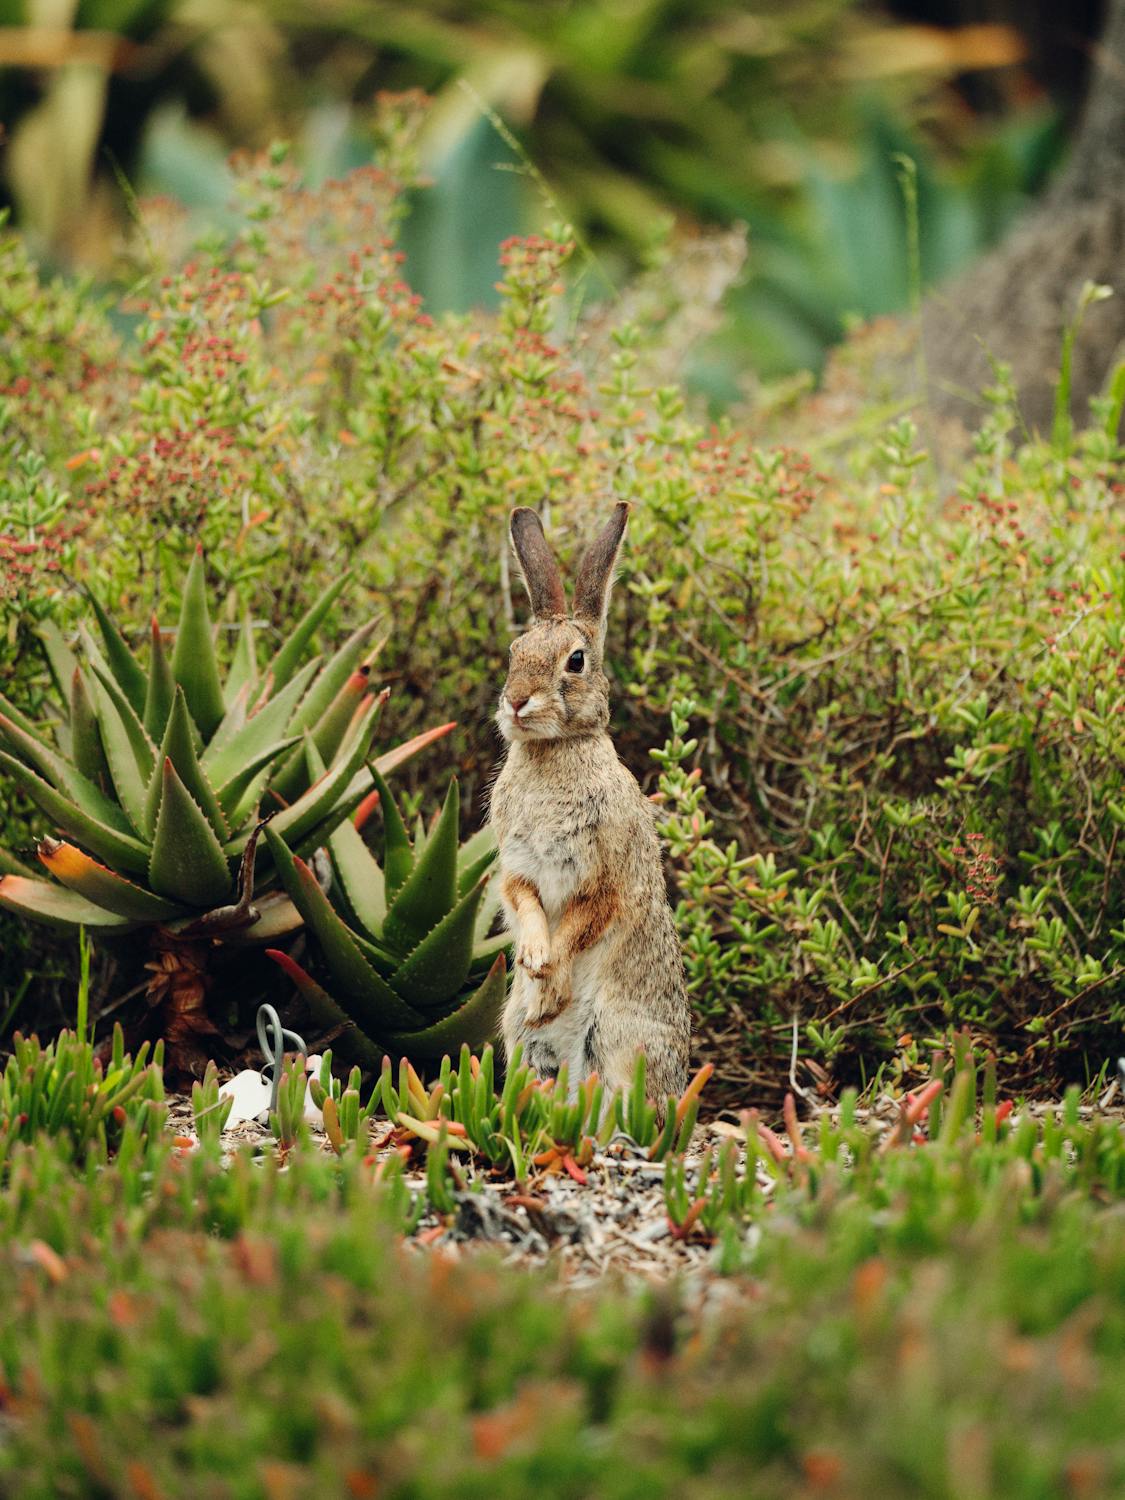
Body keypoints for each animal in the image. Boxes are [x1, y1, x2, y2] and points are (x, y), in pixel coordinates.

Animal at [489, 502, 691, 1109]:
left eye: (575, 661)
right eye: (515, 654)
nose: (515, 701)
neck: (554, 750)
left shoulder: (605, 874)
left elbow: (582, 919)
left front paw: (548, 970)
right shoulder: (516, 864)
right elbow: (524, 902)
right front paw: (534, 960)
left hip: (621, 1036)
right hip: (522, 1041)